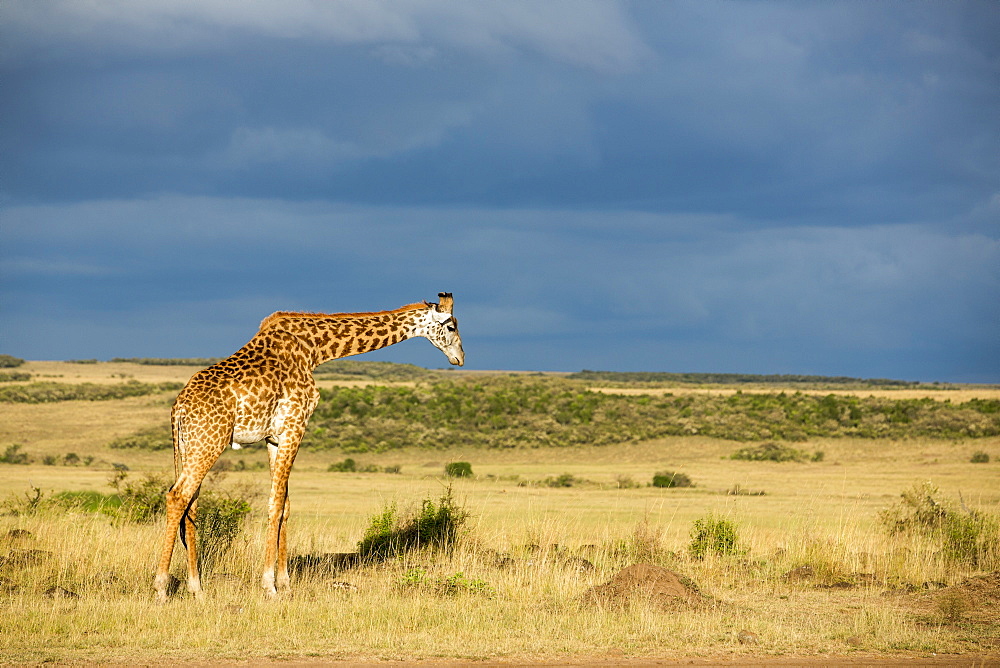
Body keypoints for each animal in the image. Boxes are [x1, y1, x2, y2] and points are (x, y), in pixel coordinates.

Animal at [153, 292, 464, 600]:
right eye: (451, 326)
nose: (460, 358)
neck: (314, 349)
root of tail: (179, 408)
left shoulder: (274, 437)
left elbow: (286, 505)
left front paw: (285, 582)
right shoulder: (295, 426)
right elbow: (276, 503)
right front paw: (269, 586)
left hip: (191, 445)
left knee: (191, 504)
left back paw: (197, 588)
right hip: (210, 441)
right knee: (178, 496)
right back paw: (161, 588)